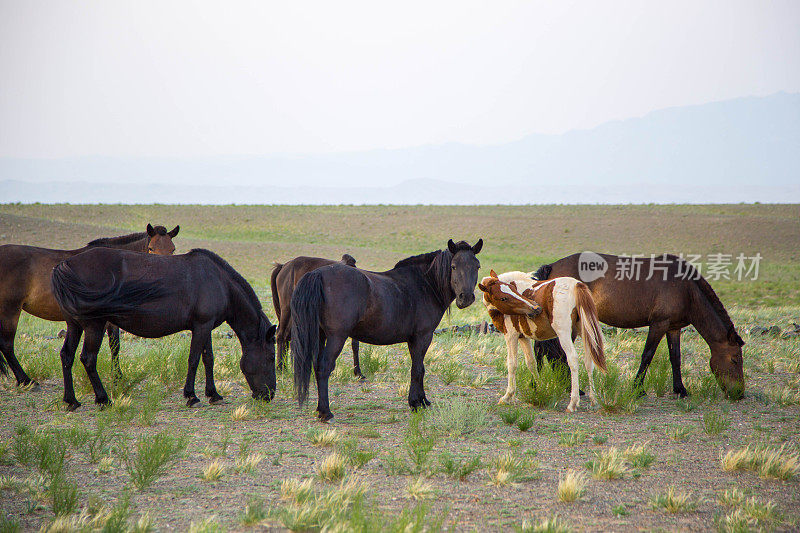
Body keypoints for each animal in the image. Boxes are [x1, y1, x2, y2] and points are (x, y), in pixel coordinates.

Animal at [0, 222, 177, 384]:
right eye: (151, 248)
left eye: (173, 249)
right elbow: (113, 345)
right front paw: (116, 378)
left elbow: (115, 346)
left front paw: (118, 376)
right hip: (10, 309)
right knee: (7, 345)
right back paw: (25, 380)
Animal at [51, 247, 278, 410]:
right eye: (270, 357)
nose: (269, 395)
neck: (219, 281)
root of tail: (65, 265)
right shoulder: (201, 327)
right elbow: (194, 359)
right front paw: (191, 396)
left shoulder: (206, 326)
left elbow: (208, 359)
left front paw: (213, 394)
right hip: (94, 326)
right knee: (88, 359)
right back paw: (103, 399)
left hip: (74, 325)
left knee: (67, 356)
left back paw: (71, 401)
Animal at [292, 240, 482, 420]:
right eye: (453, 266)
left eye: (477, 266)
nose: (466, 298)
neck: (425, 285)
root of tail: (318, 274)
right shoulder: (423, 337)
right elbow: (417, 369)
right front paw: (416, 403)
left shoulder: (414, 340)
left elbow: (419, 368)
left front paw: (422, 400)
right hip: (336, 337)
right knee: (324, 367)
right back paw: (326, 412)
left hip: (320, 335)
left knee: (317, 366)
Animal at [476, 270, 608, 412]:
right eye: (504, 298)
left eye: (513, 289)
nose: (535, 308)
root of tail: (577, 285)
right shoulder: (523, 337)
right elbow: (532, 363)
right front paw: (539, 389)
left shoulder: (511, 335)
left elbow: (512, 364)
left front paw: (508, 396)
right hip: (585, 332)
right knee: (589, 362)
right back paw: (594, 400)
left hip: (564, 333)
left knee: (572, 359)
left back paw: (573, 403)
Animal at [536, 254, 748, 400]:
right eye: (735, 359)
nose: (739, 393)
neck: (687, 290)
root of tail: (552, 267)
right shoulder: (659, 324)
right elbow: (647, 355)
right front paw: (638, 389)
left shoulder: (673, 328)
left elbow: (676, 358)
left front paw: (680, 389)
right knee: (556, 352)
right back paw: (570, 388)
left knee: (544, 349)